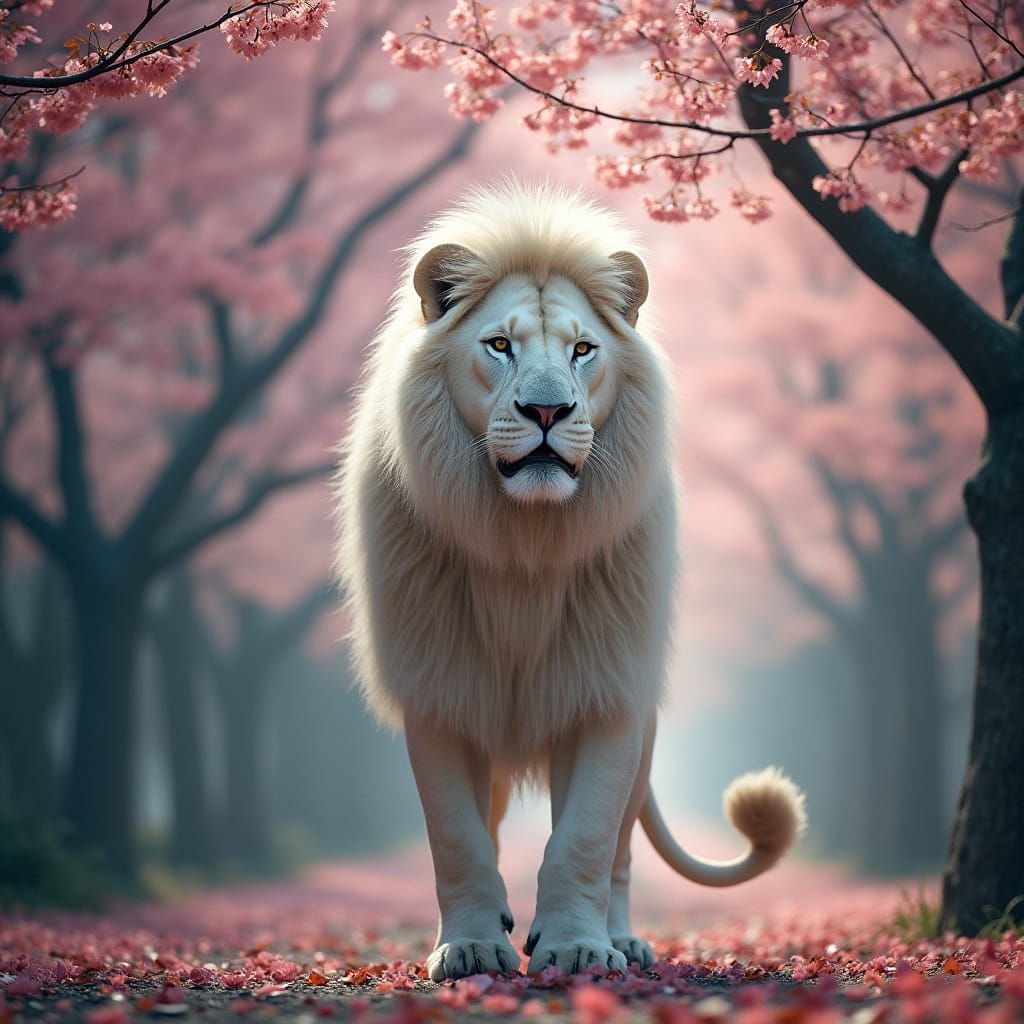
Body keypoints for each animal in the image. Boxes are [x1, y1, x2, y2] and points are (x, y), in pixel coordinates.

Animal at [334, 181, 806, 981]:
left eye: (584, 350)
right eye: (500, 345)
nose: (548, 410)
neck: (524, 542)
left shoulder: (605, 685)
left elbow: (586, 836)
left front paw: (577, 948)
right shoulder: (436, 682)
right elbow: (456, 837)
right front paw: (470, 945)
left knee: (618, 852)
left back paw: (622, 939)